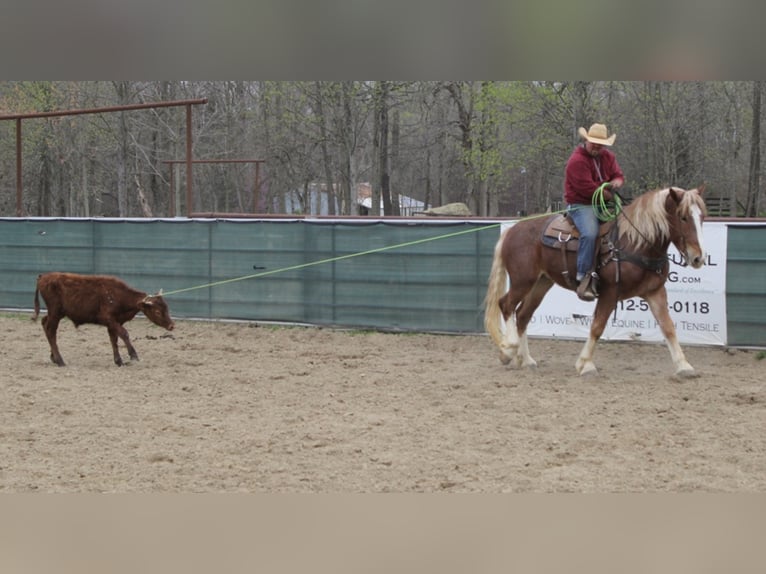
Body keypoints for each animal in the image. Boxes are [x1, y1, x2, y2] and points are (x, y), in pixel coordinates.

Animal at [33, 272, 176, 366]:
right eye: (157, 311)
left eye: (167, 308)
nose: (171, 325)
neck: (118, 296)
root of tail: (44, 277)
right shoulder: (109, 319)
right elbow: (124, 334)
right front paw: (133, 355)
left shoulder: (114, 322)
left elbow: (114, 339)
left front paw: (118, 361)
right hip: (55, 312)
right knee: (51, 331)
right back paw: (60, 360)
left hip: (56, 313)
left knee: (44, 323)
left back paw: (53, 357)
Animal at [486, 187, 708, 380]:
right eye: (683, 217)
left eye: (702, 217)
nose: (698, 258)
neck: (635, 243)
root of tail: (513, 229)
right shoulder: (609, 292)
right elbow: (597, 327)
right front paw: (586, 365)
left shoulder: (655, 292)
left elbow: (668, 327)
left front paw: (684, 366)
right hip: (523, 280)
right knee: (506, 304)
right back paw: (508, 349)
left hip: (541, 283)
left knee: (523, 315)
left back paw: (526, 359)